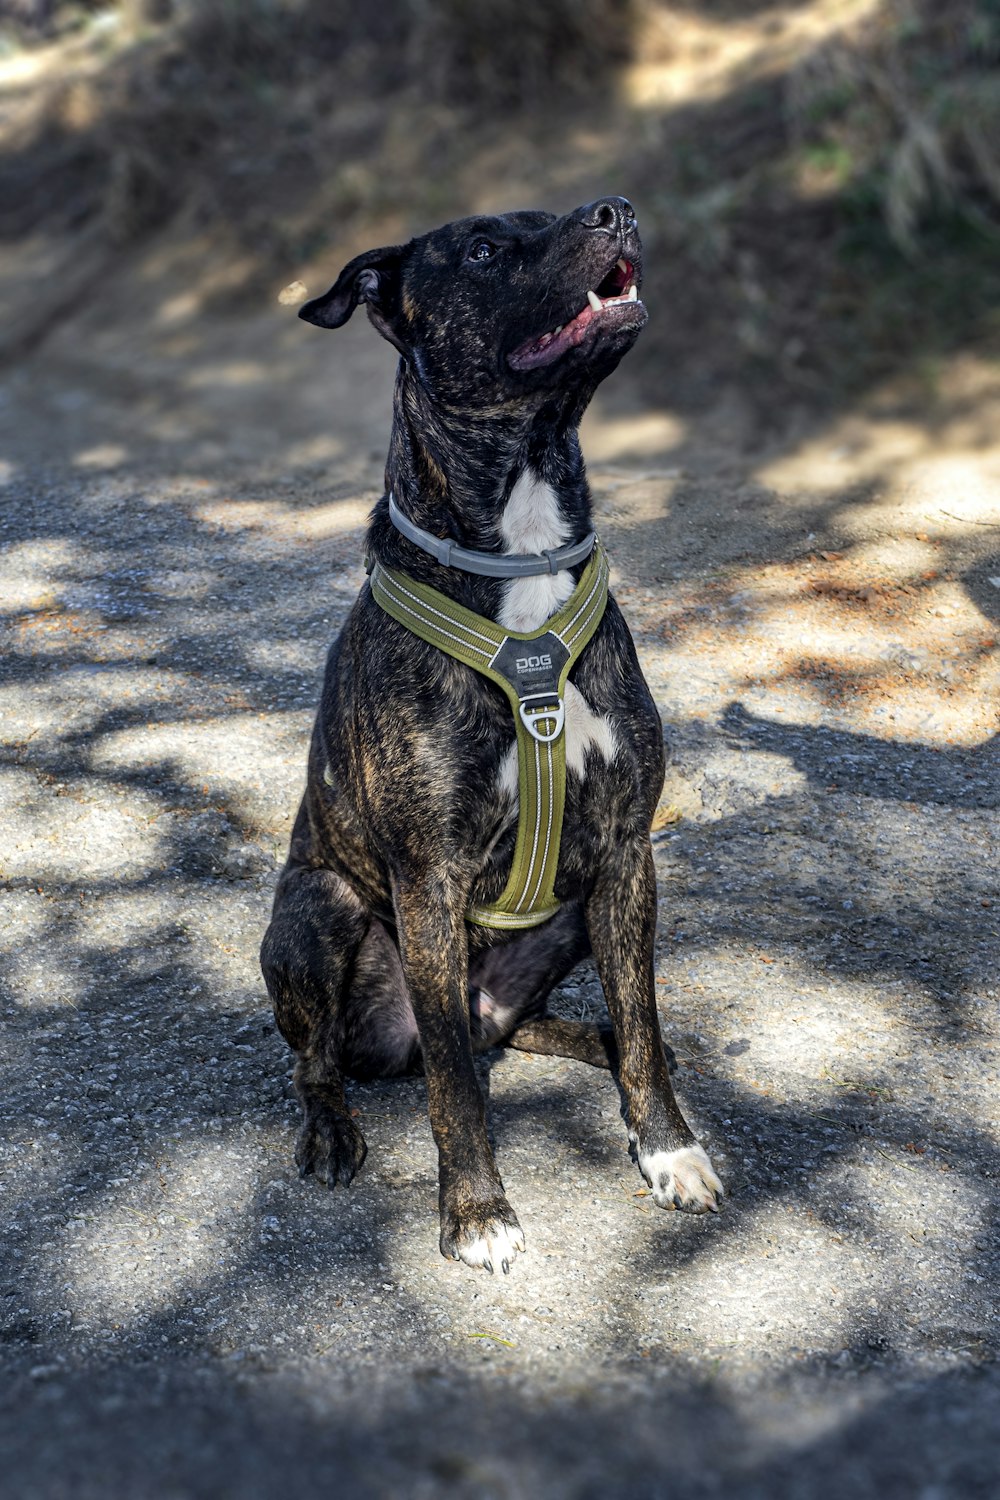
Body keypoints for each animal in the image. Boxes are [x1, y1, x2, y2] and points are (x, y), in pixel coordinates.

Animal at [260, 193, 719, 1272]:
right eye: (478, 249)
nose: (616, 208)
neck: (523, 549)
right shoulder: (426, 880)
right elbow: (454, 1090)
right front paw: (475, 1212)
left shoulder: (628, 853)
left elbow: (640, 1020)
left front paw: (667, 1147)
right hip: (315, 911)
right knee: (330, 1061)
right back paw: (332, 1128)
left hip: (575, 916)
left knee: (535, 1029)